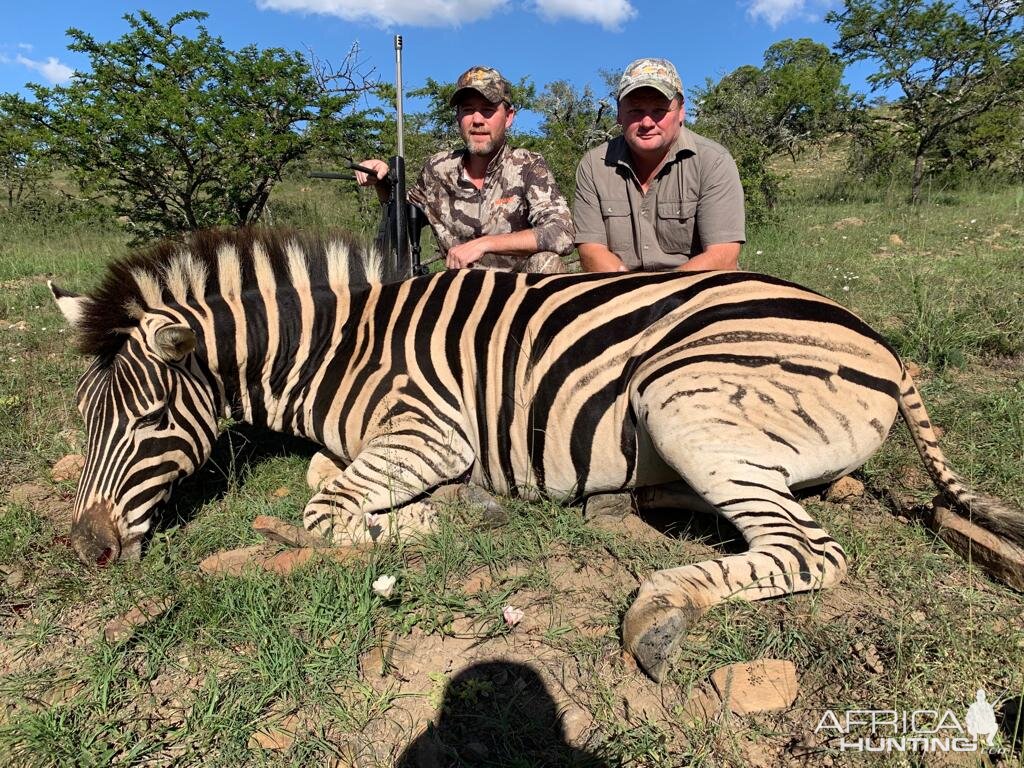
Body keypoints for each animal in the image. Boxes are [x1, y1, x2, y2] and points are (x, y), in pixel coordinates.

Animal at [49, 227, 1024, 679]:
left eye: (147, 423)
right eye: (85, 420)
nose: (87, 550)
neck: (340, 350)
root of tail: (883, 345)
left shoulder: (432, 425)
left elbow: (326, 510)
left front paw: (444, 518)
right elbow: (329, 479)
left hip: (683, 396)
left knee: (806, 551)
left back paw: (658, 609)